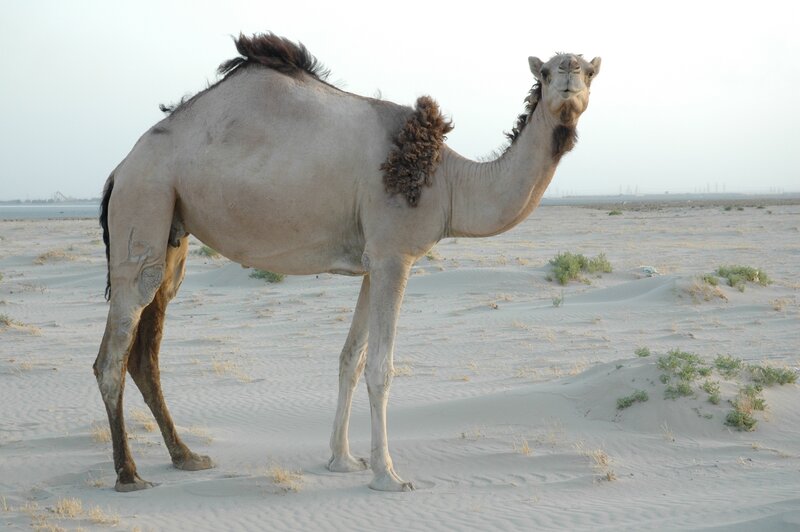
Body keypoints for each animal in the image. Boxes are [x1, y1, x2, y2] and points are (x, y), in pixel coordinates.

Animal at [94, 32, 600, 492]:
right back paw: (128, 474)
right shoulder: (395, 255)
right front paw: (388, 475)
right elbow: (380, 367)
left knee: (147, 351)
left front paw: (342, 460)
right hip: (145, 201)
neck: (448, 181)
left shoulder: (372, 263)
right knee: (112, 356)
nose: (570, 75)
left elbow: (350, 359)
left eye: (590, 72)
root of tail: (119, 169)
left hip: (172, 231)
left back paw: (186, 457)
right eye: (545, 71)